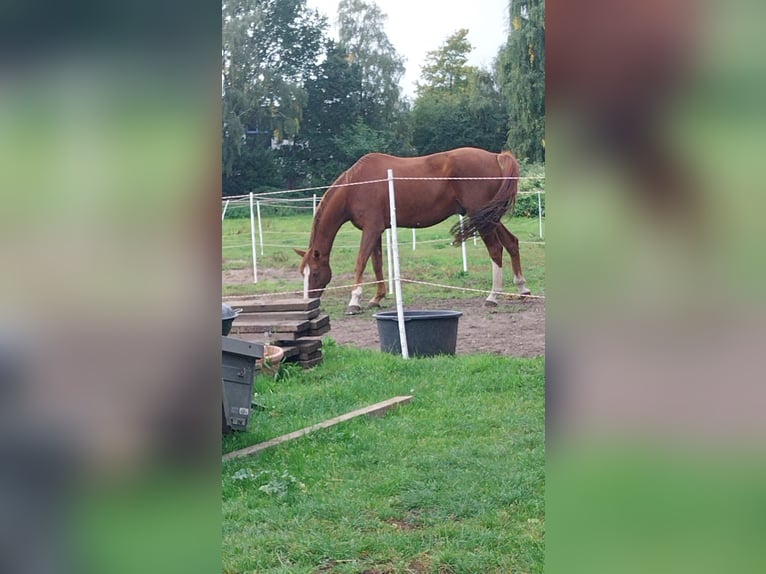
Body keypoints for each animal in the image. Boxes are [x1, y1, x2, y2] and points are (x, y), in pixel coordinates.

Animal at [296, 145, 532, 316]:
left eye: (315, 273)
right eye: (302, 273)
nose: (308, 302)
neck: (355, 186)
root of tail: (497, 157)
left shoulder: (371, 229)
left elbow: (361, 262)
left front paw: (355, 301)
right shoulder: (377, 231)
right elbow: (377, 263)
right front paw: (377, 298)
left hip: (480, 218)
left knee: (495, 250)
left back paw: (492, 297)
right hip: (489, 217)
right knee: (511, 243)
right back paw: (522, 289)